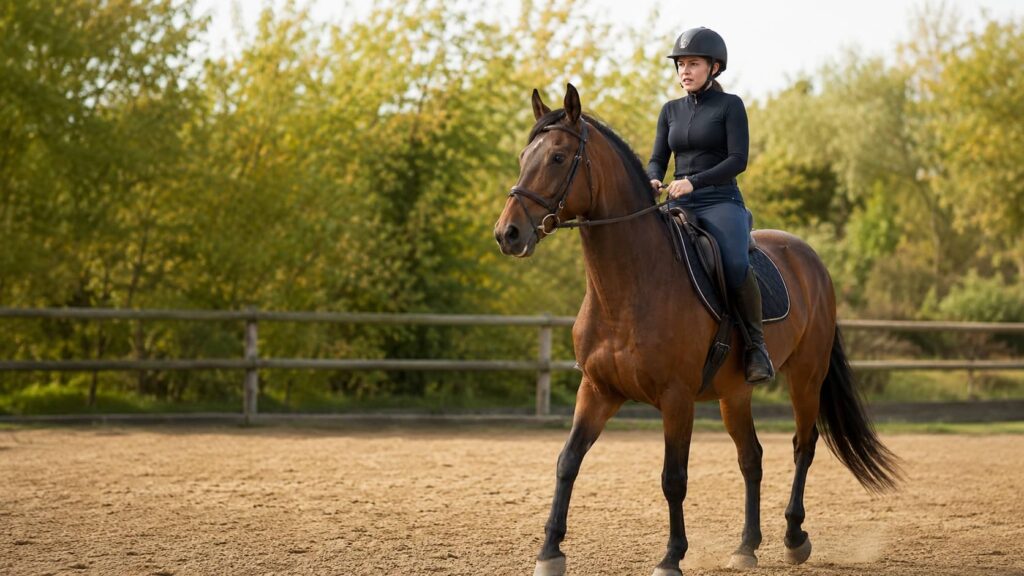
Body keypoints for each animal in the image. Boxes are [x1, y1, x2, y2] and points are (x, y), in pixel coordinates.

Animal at [493, 84, 901, 576]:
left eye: (556, 157)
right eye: (523, 156)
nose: (508, 234)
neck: (629, 286)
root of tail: (810, 258)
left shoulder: (676, 397)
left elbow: (673, 478)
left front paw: (671, 556)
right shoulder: (596, 390)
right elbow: (567, 461)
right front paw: (550, 551)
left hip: (806, 376)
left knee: (803, 446)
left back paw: (794, 537)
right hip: (735, 393)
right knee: (752, 457)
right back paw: (746, 546)